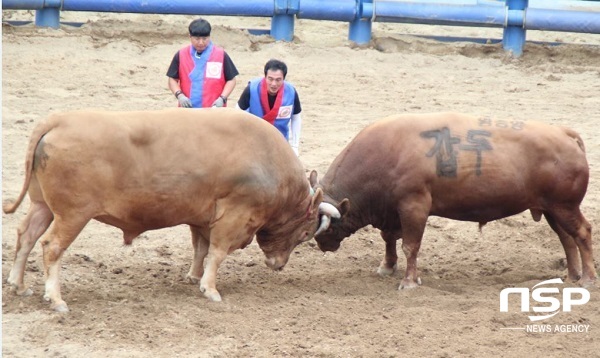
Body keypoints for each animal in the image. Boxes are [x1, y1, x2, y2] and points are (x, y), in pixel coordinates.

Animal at [4, 107, 324, 312]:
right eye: (305, 233)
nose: (278, 265)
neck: (266, 158)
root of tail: (59, 121)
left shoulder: (202, 218)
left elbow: (201, 249)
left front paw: (194, 277)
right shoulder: (234, 217)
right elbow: (217, 253)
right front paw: (210, 288)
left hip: (42, 207)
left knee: (26, 236)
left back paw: (18, 284)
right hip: (72, 215)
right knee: (51, 246)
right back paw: (55, 298)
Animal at [312, 112, 596, 290]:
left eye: (325, 224)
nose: (321, 244)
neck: (387, 151)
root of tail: (564, 134)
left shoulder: (414, 207)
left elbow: (410, 246)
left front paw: (409, 281)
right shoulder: (391, 212)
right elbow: (389, 239)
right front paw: (387, 267)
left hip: (565, 207)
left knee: (582, 233)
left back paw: (588, 279)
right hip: (552, 210)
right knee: (566, 238)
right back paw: (571, 275)